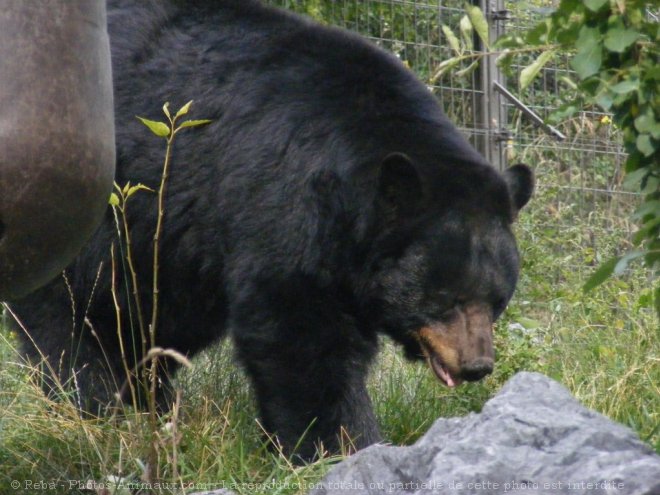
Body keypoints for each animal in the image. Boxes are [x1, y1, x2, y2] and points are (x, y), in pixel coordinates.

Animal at [7, 0, 532, 462]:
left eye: (496, 300)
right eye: (445, 297)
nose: (477, 365)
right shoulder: (281, 197)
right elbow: (299, 332)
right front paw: (338, 444)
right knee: (77, 305)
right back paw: (98, 398)